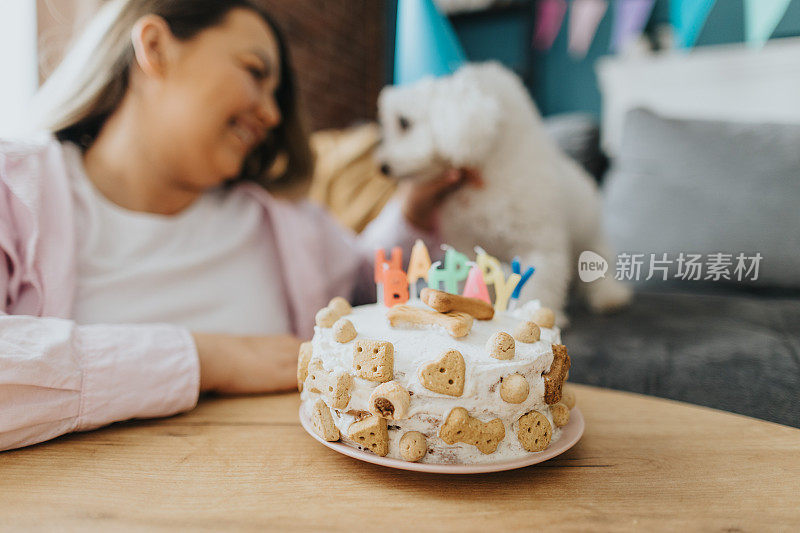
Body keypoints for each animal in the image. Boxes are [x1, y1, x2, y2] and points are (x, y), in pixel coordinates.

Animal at [378, 62, 636, 320]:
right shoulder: (466, 244)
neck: (490, 173)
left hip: (588, 234)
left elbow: (539, 285)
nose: (382, 167)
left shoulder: (538, 245)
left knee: (597, 261)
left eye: (404, 122)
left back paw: (609, 295)